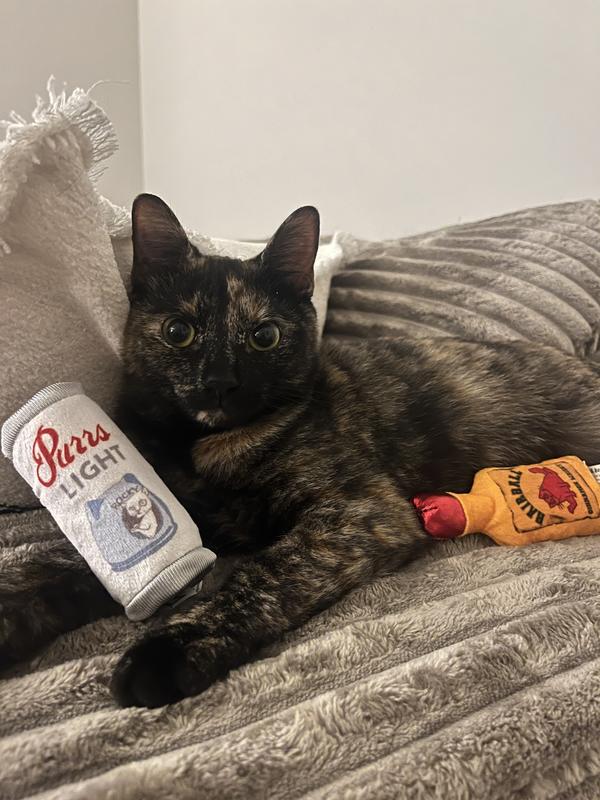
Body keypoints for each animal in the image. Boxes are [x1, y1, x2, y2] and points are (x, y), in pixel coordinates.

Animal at [3, 192, 600, 709]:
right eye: (179, 331)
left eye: (264, 336)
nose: (219, 382)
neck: (206, 450)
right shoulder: (174, 517)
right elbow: (68, 562)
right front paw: (13, 604)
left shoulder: (362, 511)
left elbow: (265, 573)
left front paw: (170, 649)